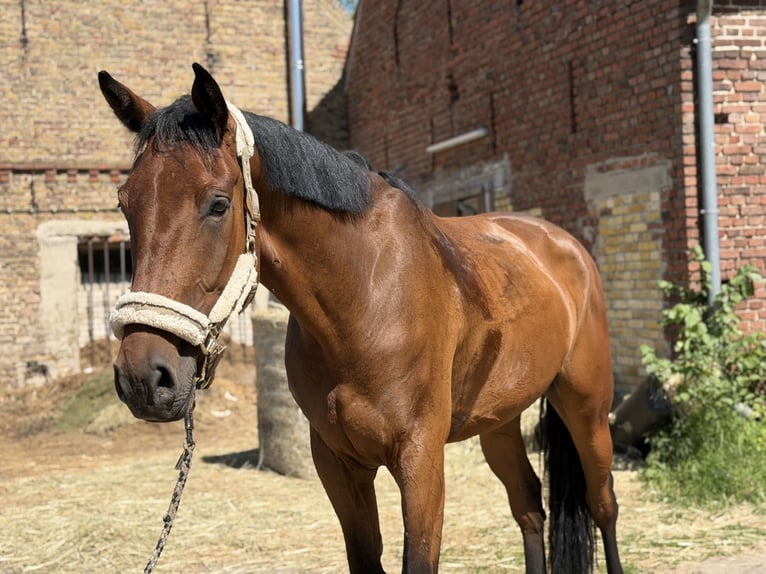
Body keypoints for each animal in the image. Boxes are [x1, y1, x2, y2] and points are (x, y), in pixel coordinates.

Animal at [99, 63, 623, 574]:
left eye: (218, 204)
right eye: (125, 203)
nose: (143, 377)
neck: (364, 299)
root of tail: (564, 243)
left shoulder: (421, 460)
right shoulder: (337, 464)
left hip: (587, 408)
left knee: (603, 506)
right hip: (500, 420)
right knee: (529, 505)